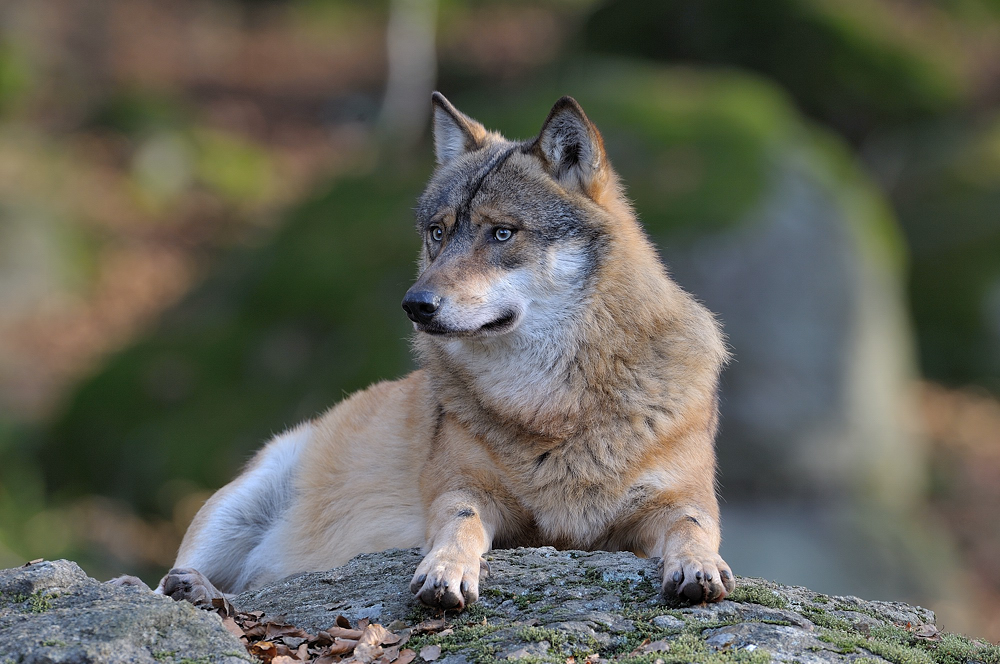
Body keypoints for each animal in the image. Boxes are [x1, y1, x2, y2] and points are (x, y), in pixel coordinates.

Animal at [150, 92, 736, 608]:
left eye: (501, 233)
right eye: (437, 232)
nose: (415, 304)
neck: (550, 404)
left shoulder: (679, 502)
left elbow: (692, 528)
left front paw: (699, 567)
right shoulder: (463, 490)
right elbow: (460, 524)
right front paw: (446, 571)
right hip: (236, 506)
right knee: (163, 584)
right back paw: (193, 589)